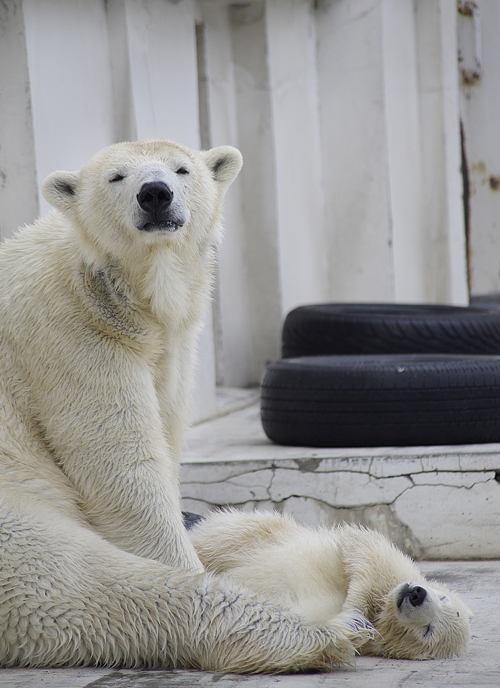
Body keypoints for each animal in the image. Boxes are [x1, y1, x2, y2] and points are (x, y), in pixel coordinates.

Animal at [0, 140, 372, 672]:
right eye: (116, 177)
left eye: (181, 169)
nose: (155, 194)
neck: (123, 289)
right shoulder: (70, 331)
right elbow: (124, 466)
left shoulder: (167, 348)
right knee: (78, 583)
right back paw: (329, 630)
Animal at [188, 510, 472, 660]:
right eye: (443, 598)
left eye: (428, 630)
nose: (416, 594)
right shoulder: (391, 565)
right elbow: (362, 549)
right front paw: (354, 608)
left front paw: (349, 620)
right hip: (259, 536)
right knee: (228, 534)